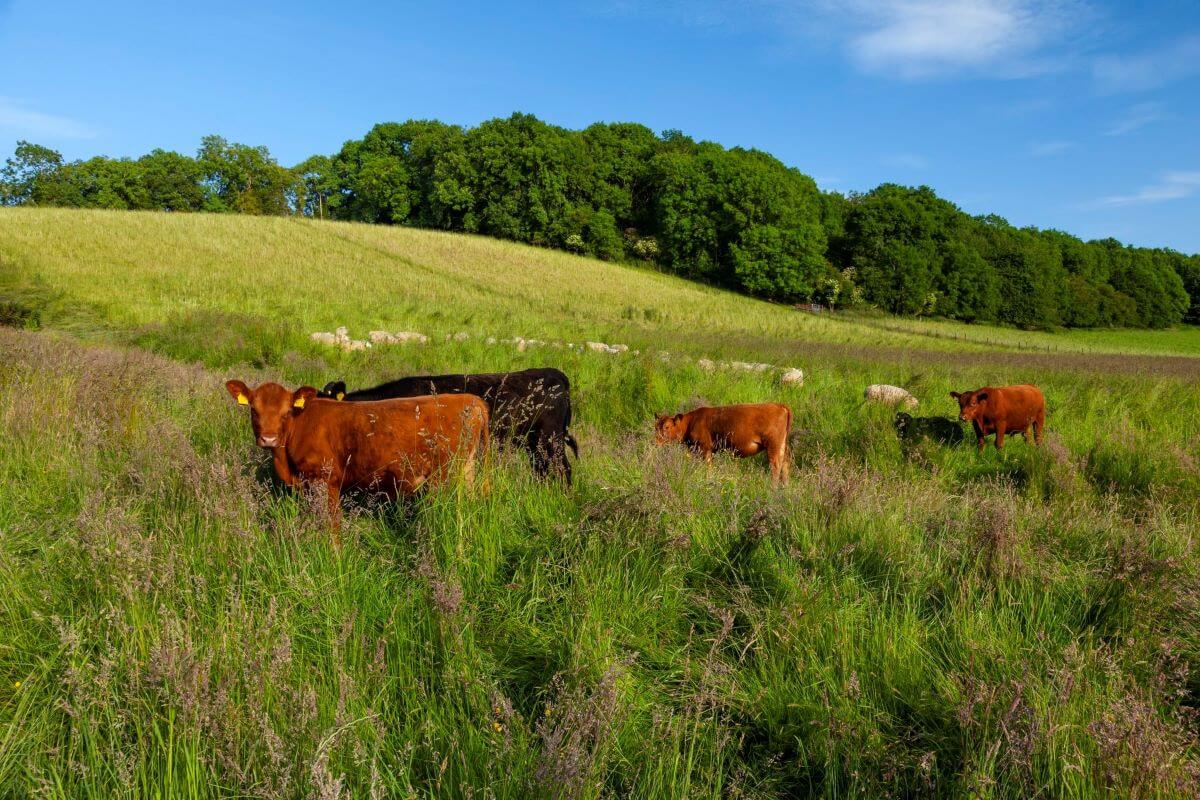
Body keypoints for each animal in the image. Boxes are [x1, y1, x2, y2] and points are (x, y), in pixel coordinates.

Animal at [225, 379, 487, 542]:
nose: (268, 438)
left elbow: (332, 525)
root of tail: (471, 400)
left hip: (446, 478)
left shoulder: (325, 481)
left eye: (287, 411)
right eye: (254, 410)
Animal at [652, 402, 792, 484]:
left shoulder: (705, 449)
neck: (691, 423)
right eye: (655, 426)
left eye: (667, 427)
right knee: (785, 464)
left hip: (773, 445)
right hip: (782, 446)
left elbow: (708, 467)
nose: (655, 442)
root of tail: (780, 406)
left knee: (776, 466)